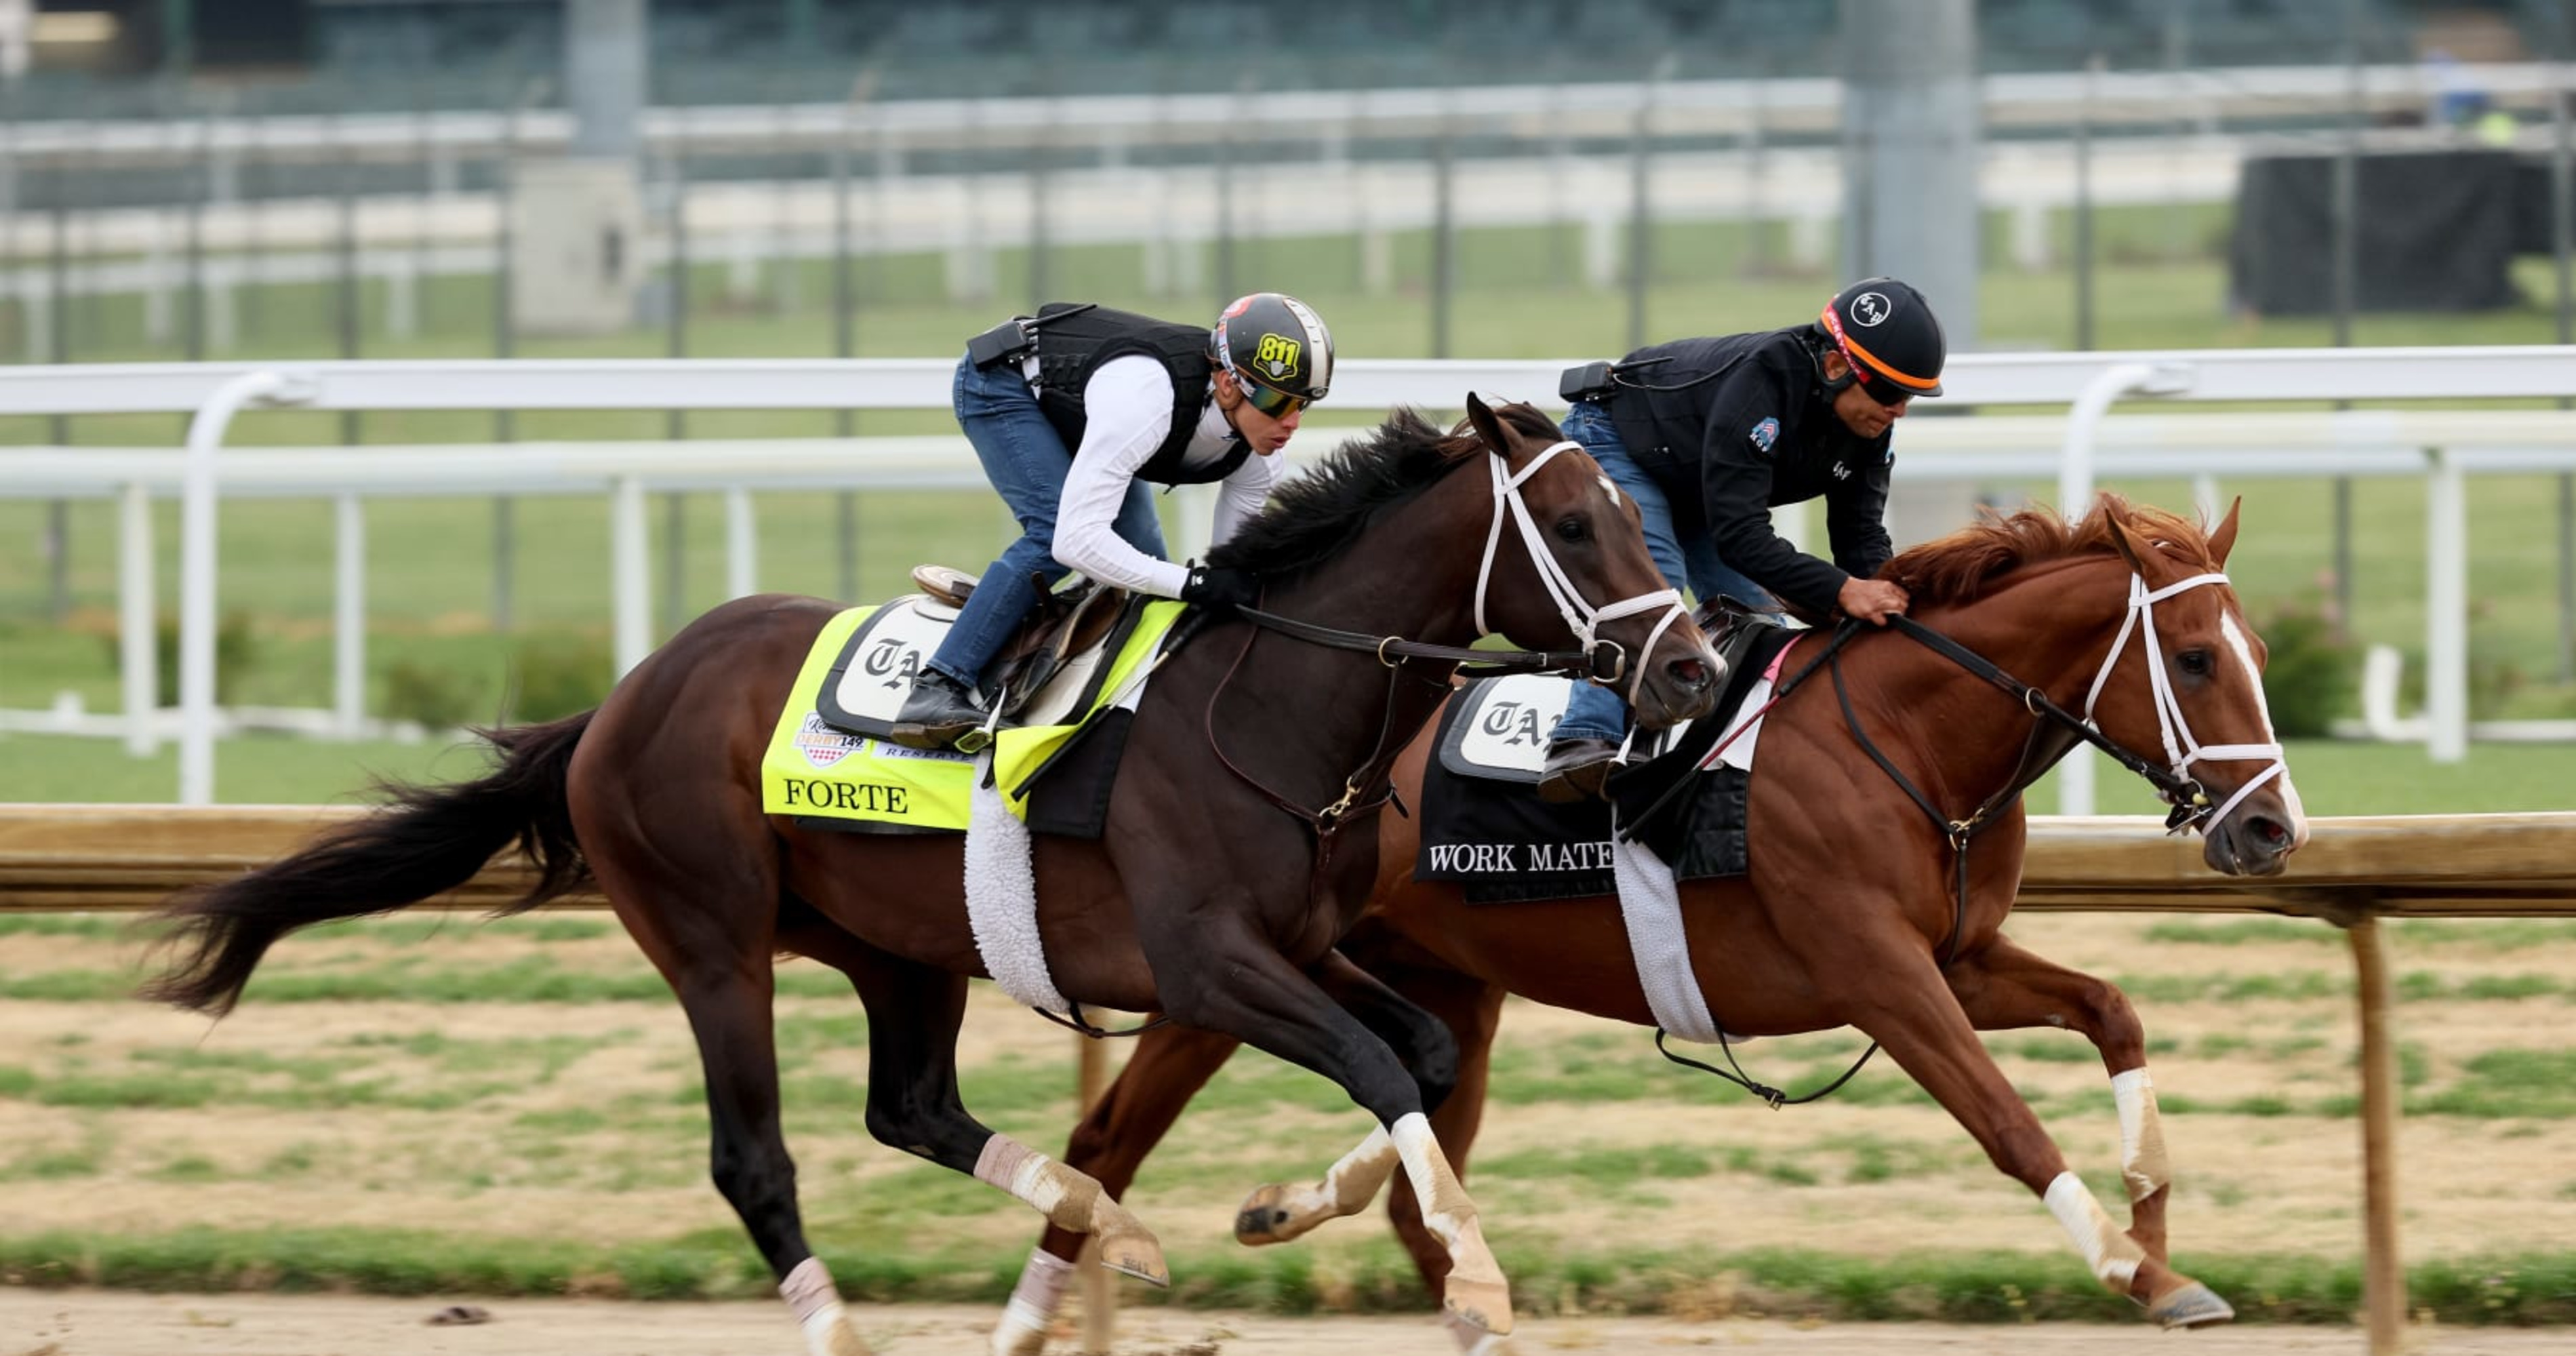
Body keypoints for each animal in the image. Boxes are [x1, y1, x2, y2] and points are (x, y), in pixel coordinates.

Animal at [136, 397, 1710, 1356]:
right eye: (1580, 525)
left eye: (1640, 513)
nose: (1692, 667)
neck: (1265, 704)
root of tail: (625, 696)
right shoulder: (1210, 964)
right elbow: (1385, 1070)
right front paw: (1477, 1277)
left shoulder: (1297, 947)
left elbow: (1423, 1056)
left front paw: (1292, 1207)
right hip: (712, 940)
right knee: (754, 1158)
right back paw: (847, 1318)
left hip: (900, 947)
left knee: (913, 1108)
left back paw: (1113, 1228)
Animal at [994, 495, 2308, 1351]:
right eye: (2197, 659)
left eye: (2255, 650)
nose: (2271, 830)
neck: (1911, 738)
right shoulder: (1881, 974)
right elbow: (2007, 1121)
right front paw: (2137, 1268)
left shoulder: (1962, 958)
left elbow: (2114, 1011)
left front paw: (2154, 1207)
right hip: (1228, 967)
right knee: (1111, 1137)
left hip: (1433, 971)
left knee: (1421, 1142)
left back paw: (1321, 1214)